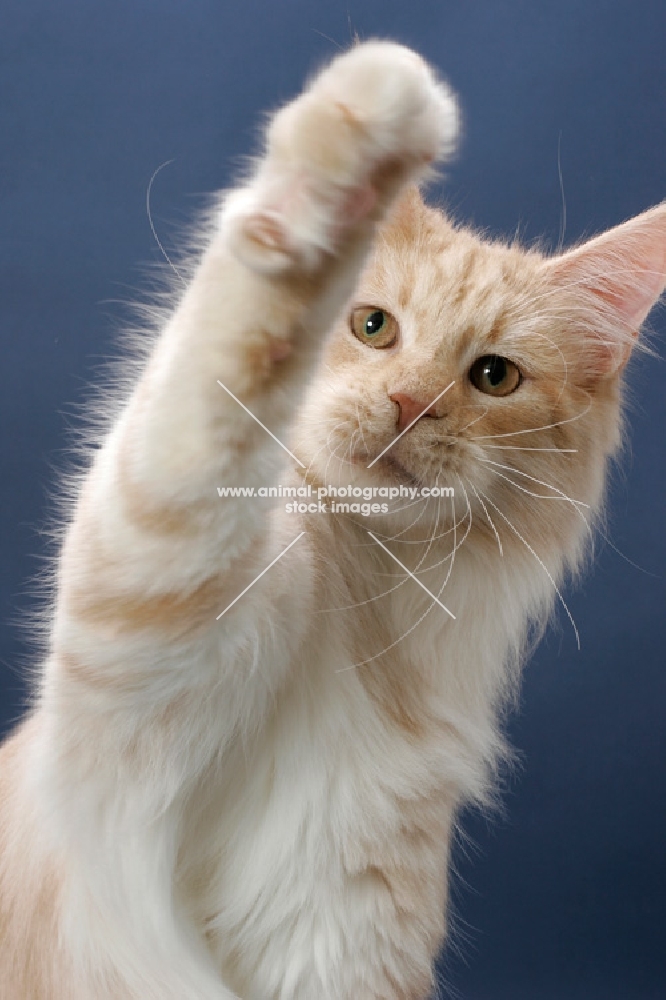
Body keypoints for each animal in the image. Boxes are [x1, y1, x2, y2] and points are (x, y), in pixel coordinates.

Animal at [1, 41, 664, 1000]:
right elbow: (220, 357)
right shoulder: (137, 649)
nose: (409, 405)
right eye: (372, 326)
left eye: (493, 377)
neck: (374, 608)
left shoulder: (349, 943)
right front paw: (356, 128)